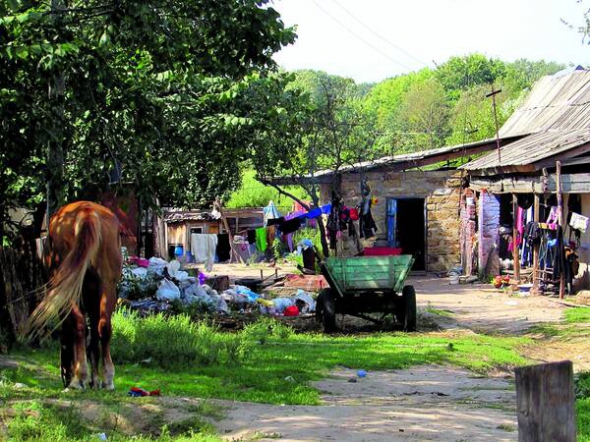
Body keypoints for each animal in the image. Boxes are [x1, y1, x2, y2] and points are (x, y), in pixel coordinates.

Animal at [29, 202, 123, 388]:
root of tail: (86, 212)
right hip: (108, 286)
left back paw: (79, 377)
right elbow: (94, 336)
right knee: (104, 327)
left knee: (79, 324)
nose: (64, 376)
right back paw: (107, 378)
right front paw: (96, 379)